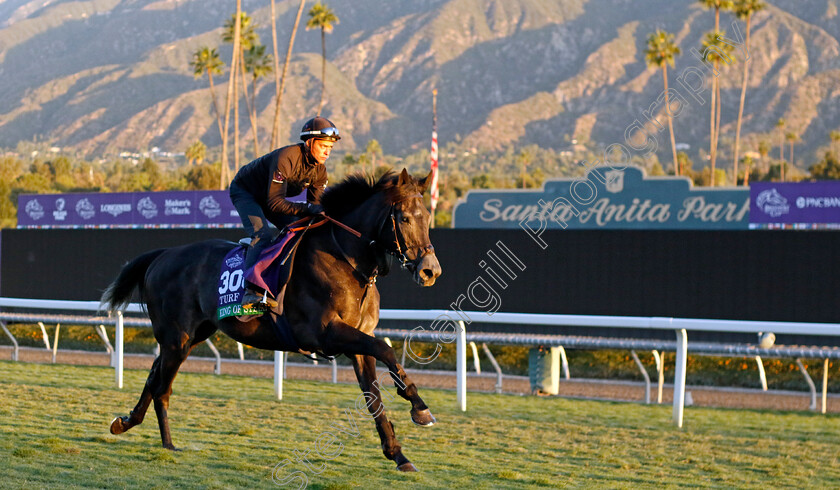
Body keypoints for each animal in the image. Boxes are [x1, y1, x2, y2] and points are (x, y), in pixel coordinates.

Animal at [101, 168, 442, 470]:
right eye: (404, 218)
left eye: (427, 218)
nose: (430, 270)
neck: (345, 261)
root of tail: (163, 254)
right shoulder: (326, 333)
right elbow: (386, 350)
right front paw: (420, 407)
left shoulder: (358, 340)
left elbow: (374, 396)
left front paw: (398, 454)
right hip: (177, 337)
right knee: (162, 387)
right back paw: (166, 442)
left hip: (193, 334)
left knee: (154, 377)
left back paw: (127, 423)